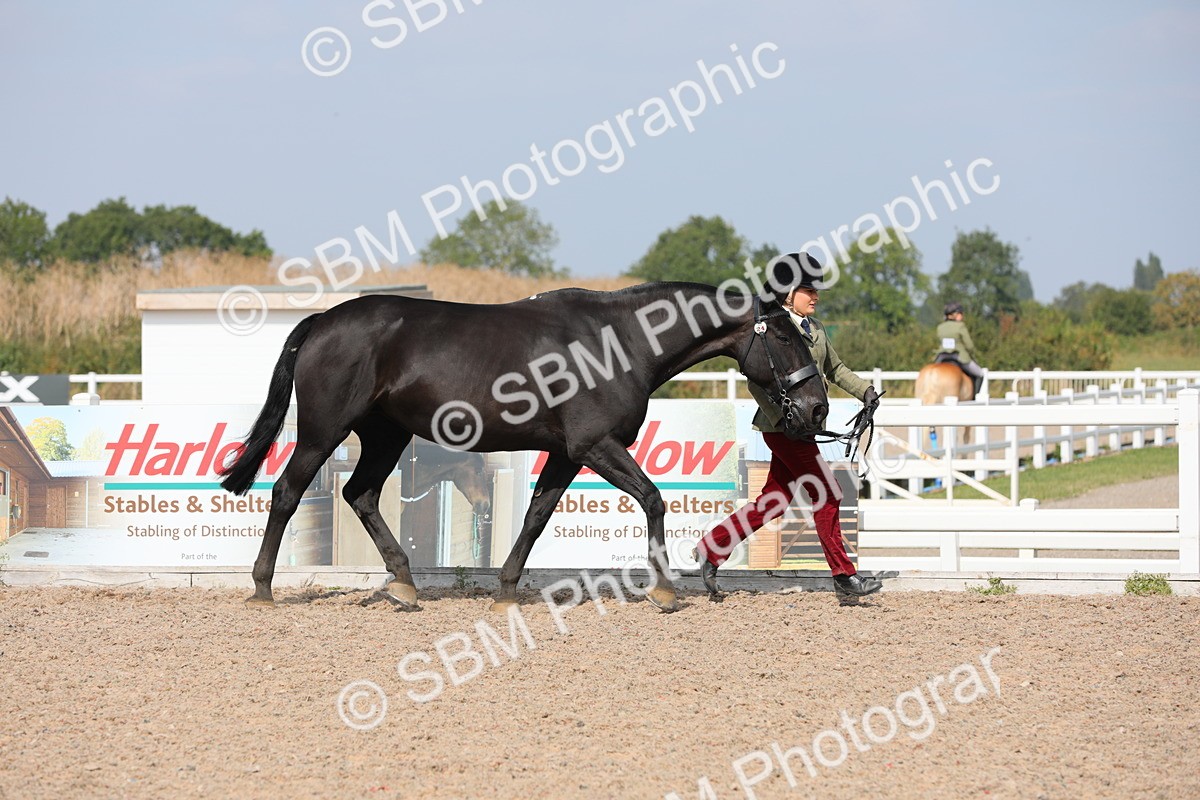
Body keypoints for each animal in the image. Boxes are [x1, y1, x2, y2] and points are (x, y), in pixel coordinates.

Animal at [219, 282, 830, 613]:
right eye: (784, 335)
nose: (818, 410)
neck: (618, 342)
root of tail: (324, 319)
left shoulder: (566, 453)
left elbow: (536, 517)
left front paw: (507, 589)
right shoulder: (595, 444)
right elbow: (654, 499)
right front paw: (663, 590)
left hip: (385, 436)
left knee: (361, 494)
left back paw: (405, 583)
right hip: (324, 431)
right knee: (288, 490)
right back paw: (263, 587)